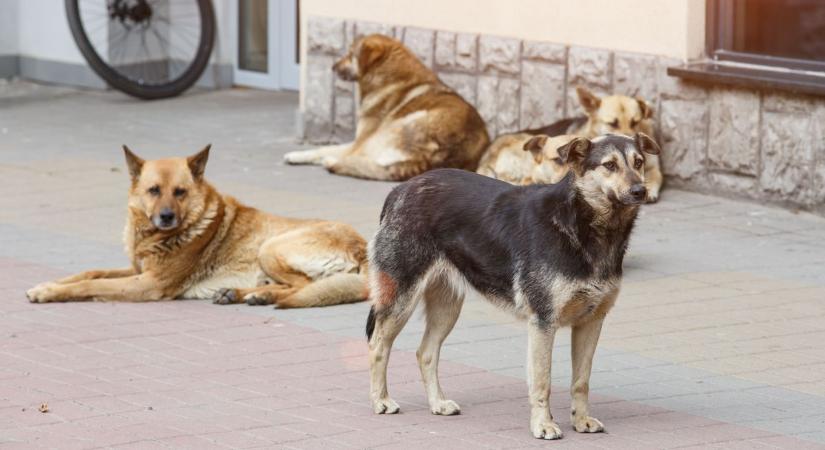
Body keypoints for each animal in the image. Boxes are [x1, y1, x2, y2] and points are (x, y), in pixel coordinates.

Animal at [26, 146, 366, 308]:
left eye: (180, 192)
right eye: (153, 190)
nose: (166, 217)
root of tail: (362, 249)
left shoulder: (147, 283)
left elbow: (90, 285)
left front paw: (50, 293)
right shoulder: (137, 269)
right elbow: (90, 272)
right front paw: (47, 284)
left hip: (270, 247)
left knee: (303, 286)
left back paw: (256, 296)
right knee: (291, 286)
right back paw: (243, 294)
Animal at [284, 33, 490, 181]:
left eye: (350, 55)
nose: (333, 66)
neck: (389, 77)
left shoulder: (360, 142)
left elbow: (325, 149)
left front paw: (301, 155)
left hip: (393, 129)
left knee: (366, 161)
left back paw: (334, 162)